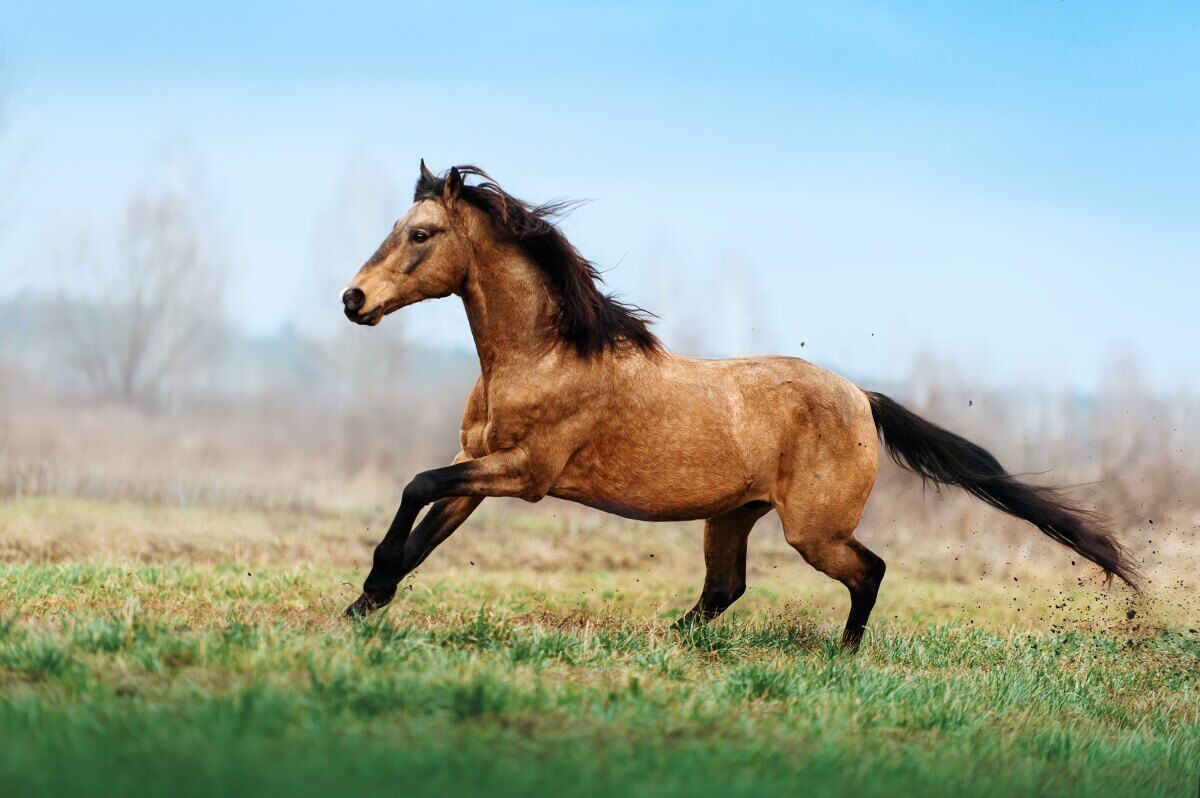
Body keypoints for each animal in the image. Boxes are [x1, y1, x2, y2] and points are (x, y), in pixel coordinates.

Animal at [336, 160, 1132, 648]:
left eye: (421, 233)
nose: (354, 300)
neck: (543, 356)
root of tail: (863, 398)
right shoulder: (480, 467)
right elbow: (425, 530)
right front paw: (363, 605)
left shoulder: (524, 472)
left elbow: (416, 488)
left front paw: (367, 592)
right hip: (733, 515)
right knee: (727, 588)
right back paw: (673, 638)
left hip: (813, 530)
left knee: (868, 571)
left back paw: (842, 657)